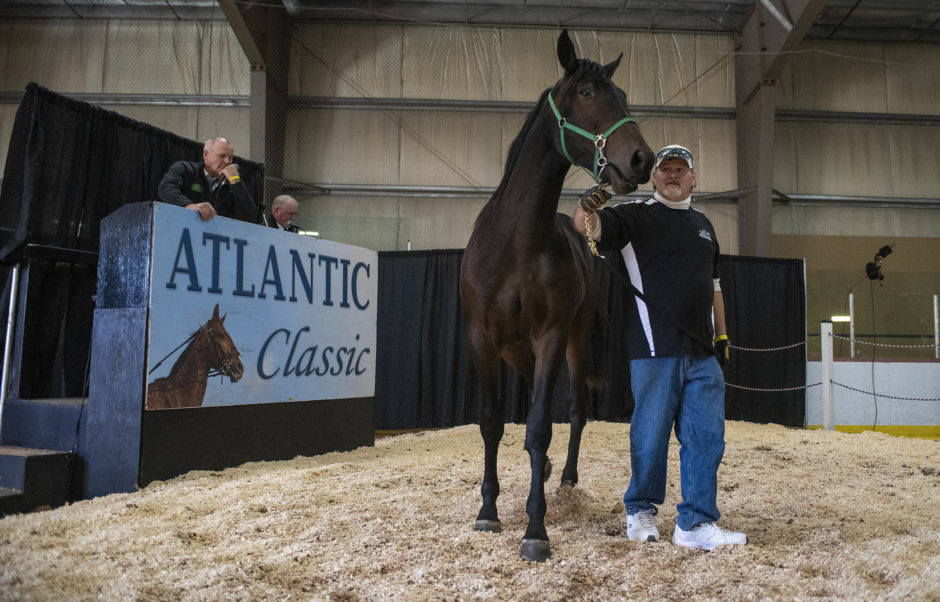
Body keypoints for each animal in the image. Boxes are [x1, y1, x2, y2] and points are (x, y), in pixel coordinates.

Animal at [458, 30, 648, 560]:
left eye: (622, 94)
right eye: (586, 93)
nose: (641, 159)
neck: (516, 243)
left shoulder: (550, 338)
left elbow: (542, 425)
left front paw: (536, 529)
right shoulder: (481, 340)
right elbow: (491, 423)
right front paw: (488, 511)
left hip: (575, 341)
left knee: (577, 410)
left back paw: (564, 480)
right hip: (512, 348)